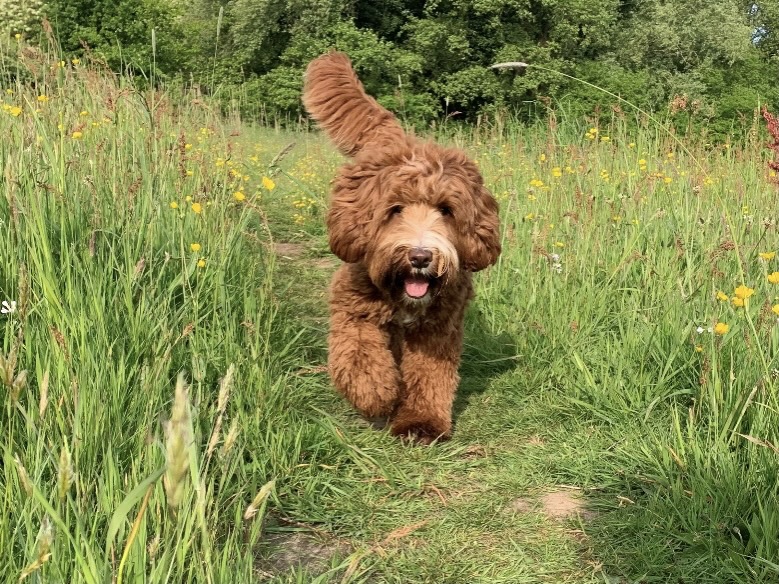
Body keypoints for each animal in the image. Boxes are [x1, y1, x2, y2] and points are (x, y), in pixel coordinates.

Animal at [302, 53, 502, 442]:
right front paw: (376, 394)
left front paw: (421, 422)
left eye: (446, 210)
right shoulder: (354, 309)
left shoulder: (437, 329)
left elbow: (430, 376)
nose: (420, 256)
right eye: (395, 209)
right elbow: (359, 356)